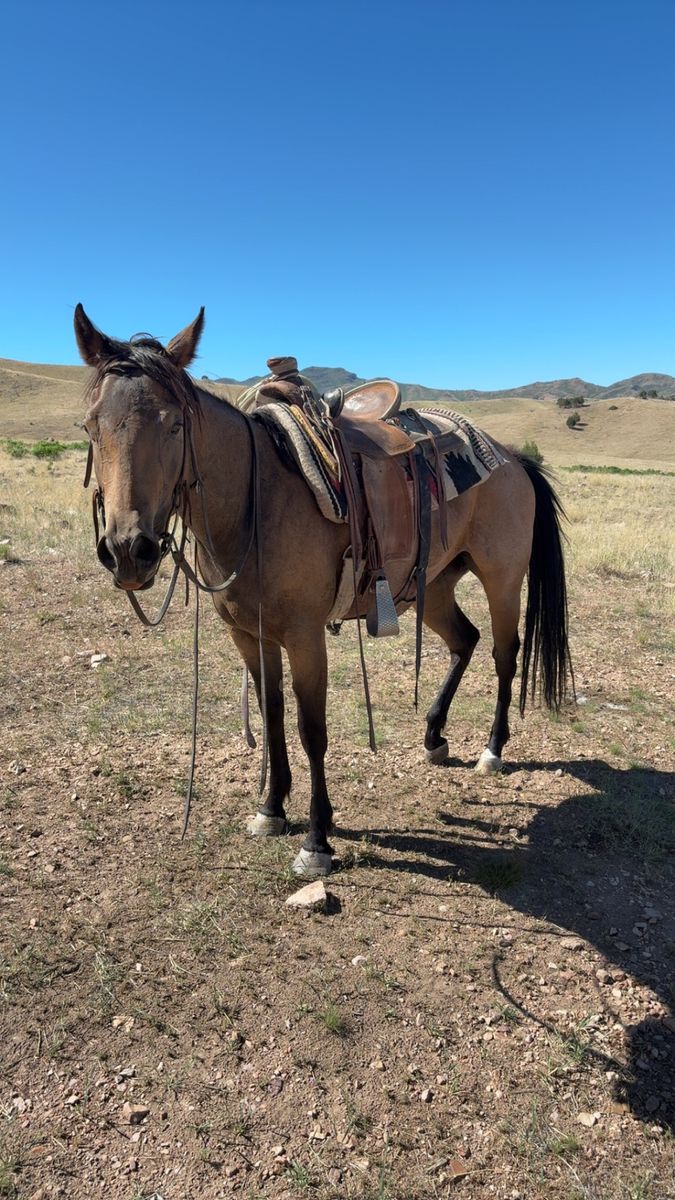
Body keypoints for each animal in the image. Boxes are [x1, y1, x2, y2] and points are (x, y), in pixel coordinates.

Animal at [74, 305, 572, 877]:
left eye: (175, 424)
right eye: (90, 427)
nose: (128, 550)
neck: (254, 504)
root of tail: (512, 458)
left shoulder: (305, 637)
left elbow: (312, 728)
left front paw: (316, 838)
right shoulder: (250, 637)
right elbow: (271, 714)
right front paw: (271, 809)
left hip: (501, 578)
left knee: (503, 654)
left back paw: (492, 750)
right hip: (435, 584)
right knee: (463, 641)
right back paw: (433, 737)